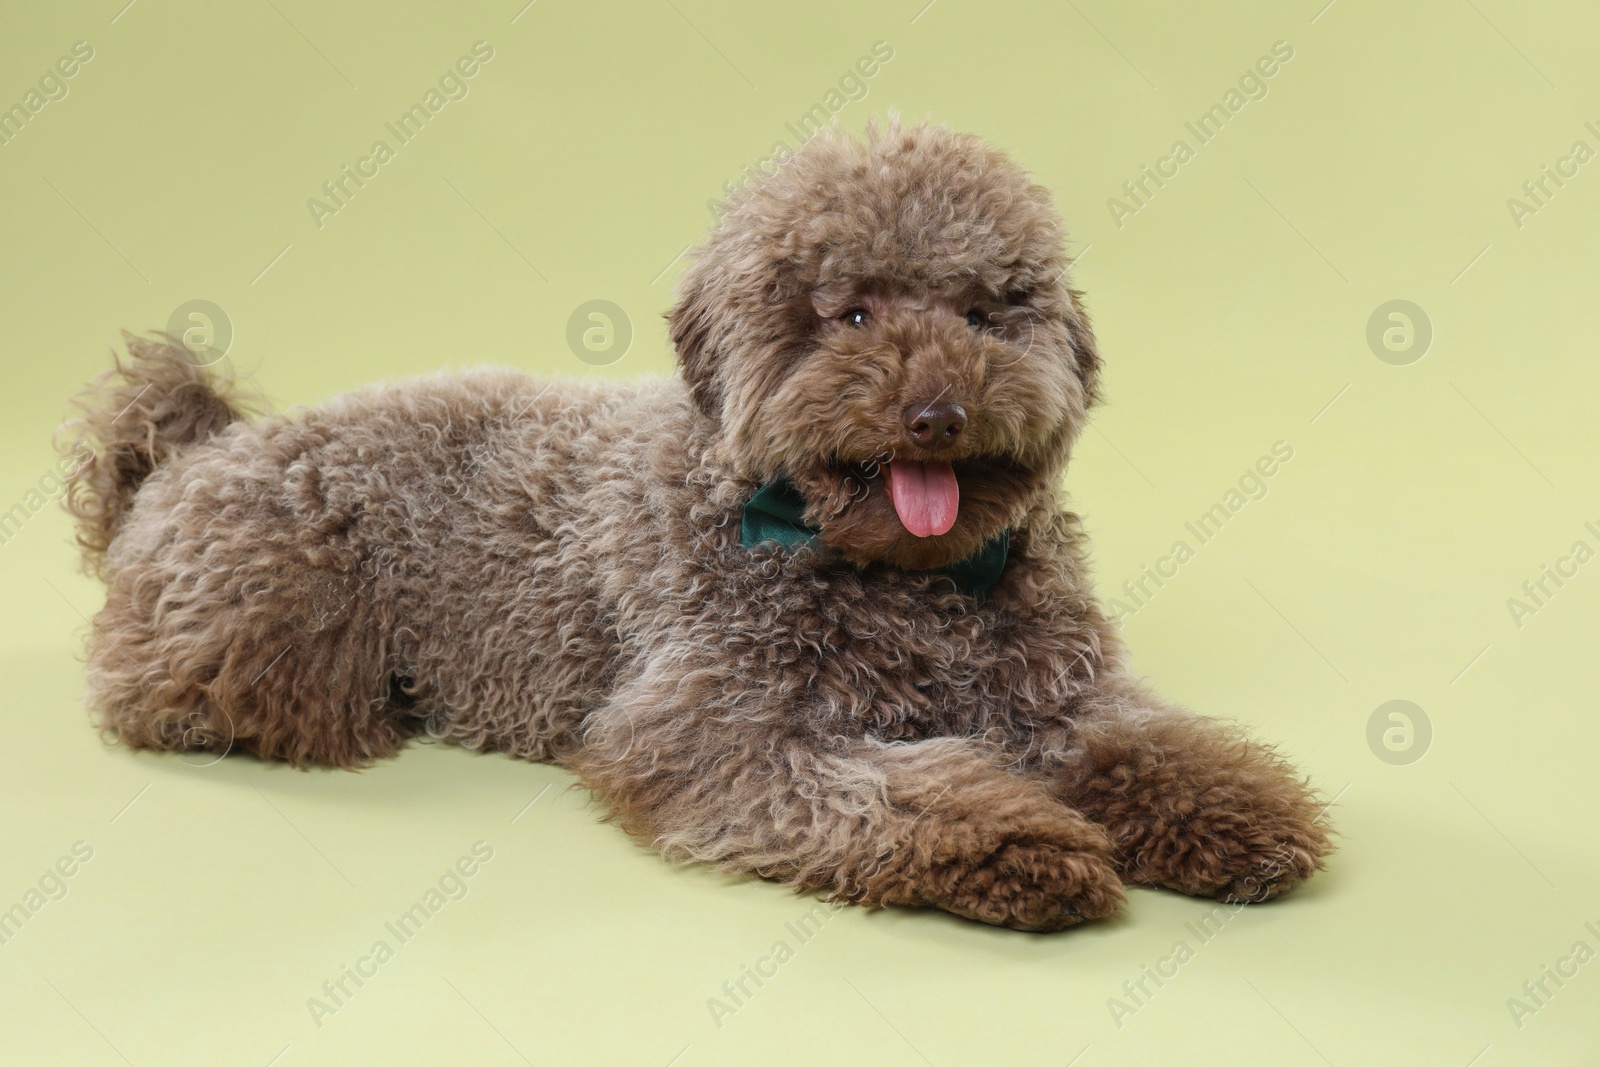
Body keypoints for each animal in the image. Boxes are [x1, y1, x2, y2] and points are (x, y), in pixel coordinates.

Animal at [65, 120, 1324, 927]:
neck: (901, 576)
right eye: (850, 313)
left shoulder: (1055, 693)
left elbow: (1143, 744)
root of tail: (193, 449)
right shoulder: (714, 729)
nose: (938, 412)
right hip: (265, 614)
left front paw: (1239, 811)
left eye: (982, 312)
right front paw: (1024, 844)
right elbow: (895, 793)